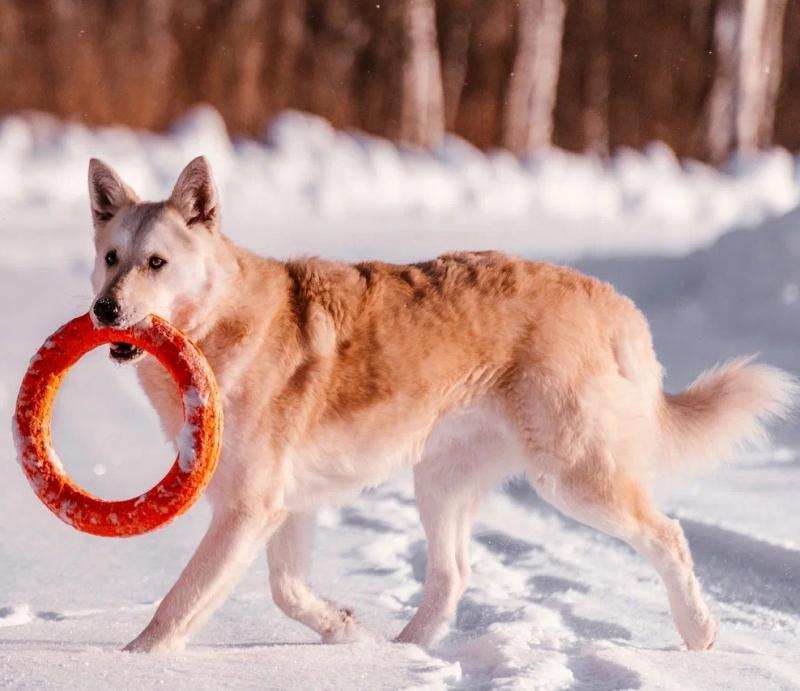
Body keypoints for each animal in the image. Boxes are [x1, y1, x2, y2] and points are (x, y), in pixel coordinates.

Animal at [84, 155, 796, 656]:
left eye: (157, 262)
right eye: (110, 257)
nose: (104, 311)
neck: (218, 327)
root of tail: (610, 301)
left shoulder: (250, 506)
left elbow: (182, 601)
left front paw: (133, 663)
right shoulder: (281, 505)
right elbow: (286, 591)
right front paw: (344, 631)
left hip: (573, 476)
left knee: (668, 536)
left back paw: (700, 632)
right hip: (441, 479)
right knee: (453, 574)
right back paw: (400, 657)